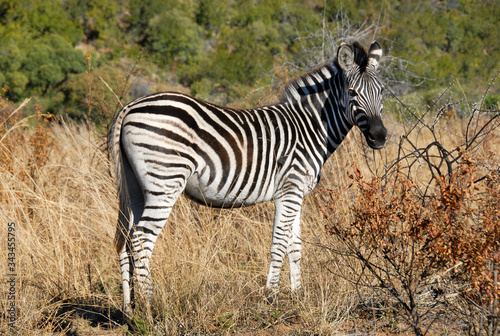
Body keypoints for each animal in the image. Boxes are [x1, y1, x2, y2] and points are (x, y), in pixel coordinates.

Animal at [109, 40, 388, 314]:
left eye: (382, 92)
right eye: (352, 93)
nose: (379, 136)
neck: (310, 128)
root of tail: (130, 106)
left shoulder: (297, 193)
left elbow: (295, 246)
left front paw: (298, 296)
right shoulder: (289, 190)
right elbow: (279, 243)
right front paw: (271, 296)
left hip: (135, 185)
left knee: (126, 239)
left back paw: (129, 309)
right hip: (165, 181)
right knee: (142, 240)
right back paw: (149, 307)